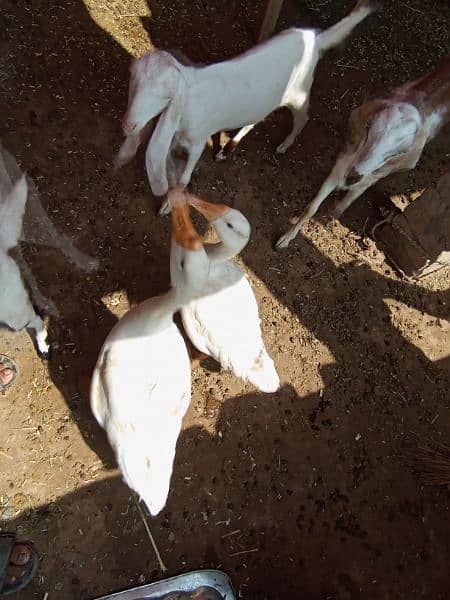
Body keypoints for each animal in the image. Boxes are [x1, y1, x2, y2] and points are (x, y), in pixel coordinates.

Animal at [115, 0, 376, 206]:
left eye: (166, 96)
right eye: (133, 81)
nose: (127, 125)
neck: (190, 100)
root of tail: (316, 40)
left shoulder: (197, 142)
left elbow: (184, 178)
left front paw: (168, 206)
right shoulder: (176, 135)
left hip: (300, 95)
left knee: (303, 118)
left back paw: (284, 145)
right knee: (257, 117)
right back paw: (228, 148)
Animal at [276, 54, 450, 246]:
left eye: (397, 153)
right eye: (368, 129)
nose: (352, 177)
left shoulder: (371, 177)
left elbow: (345, 203)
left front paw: (333, 213)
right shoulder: (342, 164)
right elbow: (311, 208)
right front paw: (285, 240)